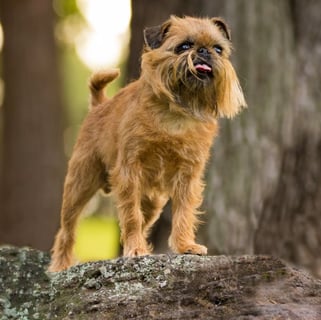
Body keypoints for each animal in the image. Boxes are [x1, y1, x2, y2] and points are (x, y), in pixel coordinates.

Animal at [48, 14, 246, 270]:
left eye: (218, 49)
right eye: (184, 46)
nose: (204, 51)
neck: (177, 110)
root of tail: (100, 105)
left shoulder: (188, 177)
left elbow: (183, 213)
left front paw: (185, 245)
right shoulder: (129, 171)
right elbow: (131, 215)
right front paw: (136, 250)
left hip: (152, 201)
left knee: (142, 220)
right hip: (79, 184)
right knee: (68, 229)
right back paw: (61, 265)